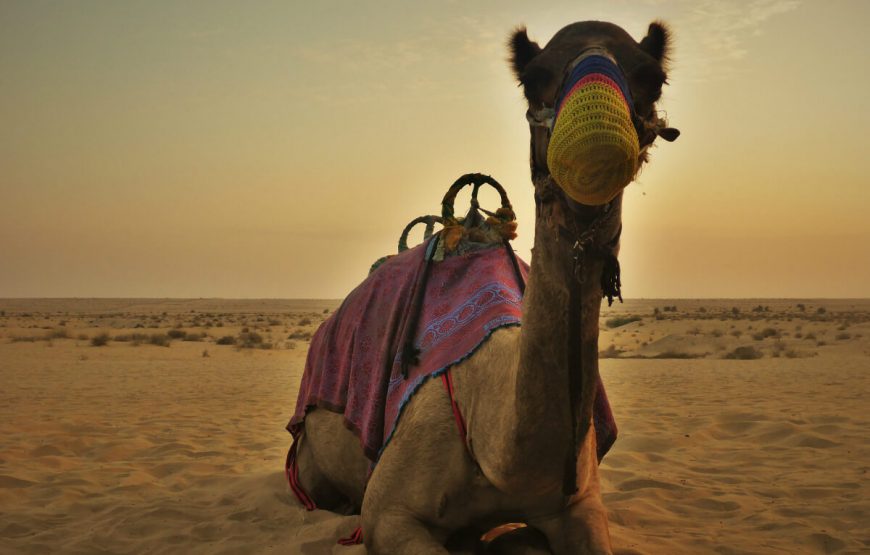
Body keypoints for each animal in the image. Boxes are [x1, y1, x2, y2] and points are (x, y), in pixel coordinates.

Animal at [292, 19, 680, 552]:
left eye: (653, 78)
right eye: (532, 79)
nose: (595, 147)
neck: (495, 446)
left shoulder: (579, 504)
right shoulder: (388, 514)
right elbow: (387, 516)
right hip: (308, 457)